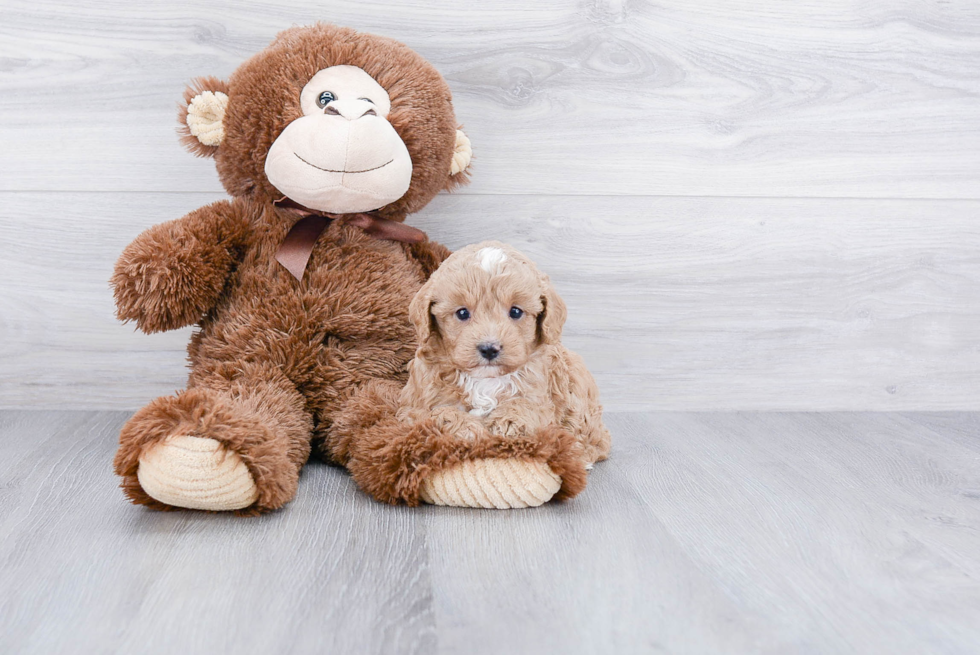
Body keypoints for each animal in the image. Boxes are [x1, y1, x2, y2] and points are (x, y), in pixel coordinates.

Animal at [394, 241, 608, 466]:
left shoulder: (539, 395)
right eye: (462, 313)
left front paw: (509, 423)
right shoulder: (414, 408)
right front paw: (467, 429)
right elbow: (440, 414)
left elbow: (526, 404)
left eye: (515, 311)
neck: (485, 380)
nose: (489, 348)